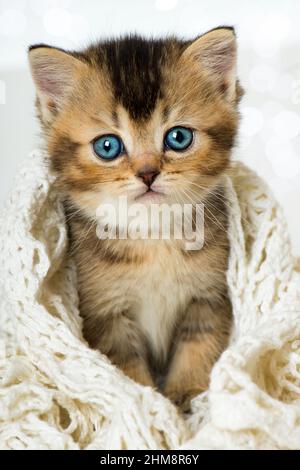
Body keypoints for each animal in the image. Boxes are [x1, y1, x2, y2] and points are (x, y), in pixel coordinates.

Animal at [28, 27, 244, 412]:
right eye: (108, 146)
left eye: (178, 137)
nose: (147, 174)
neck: (153, 237)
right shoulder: (104, 314)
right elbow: (126, 373)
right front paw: (151, 408)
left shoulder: (210, 298)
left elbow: (198, 349)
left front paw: (186, 400)